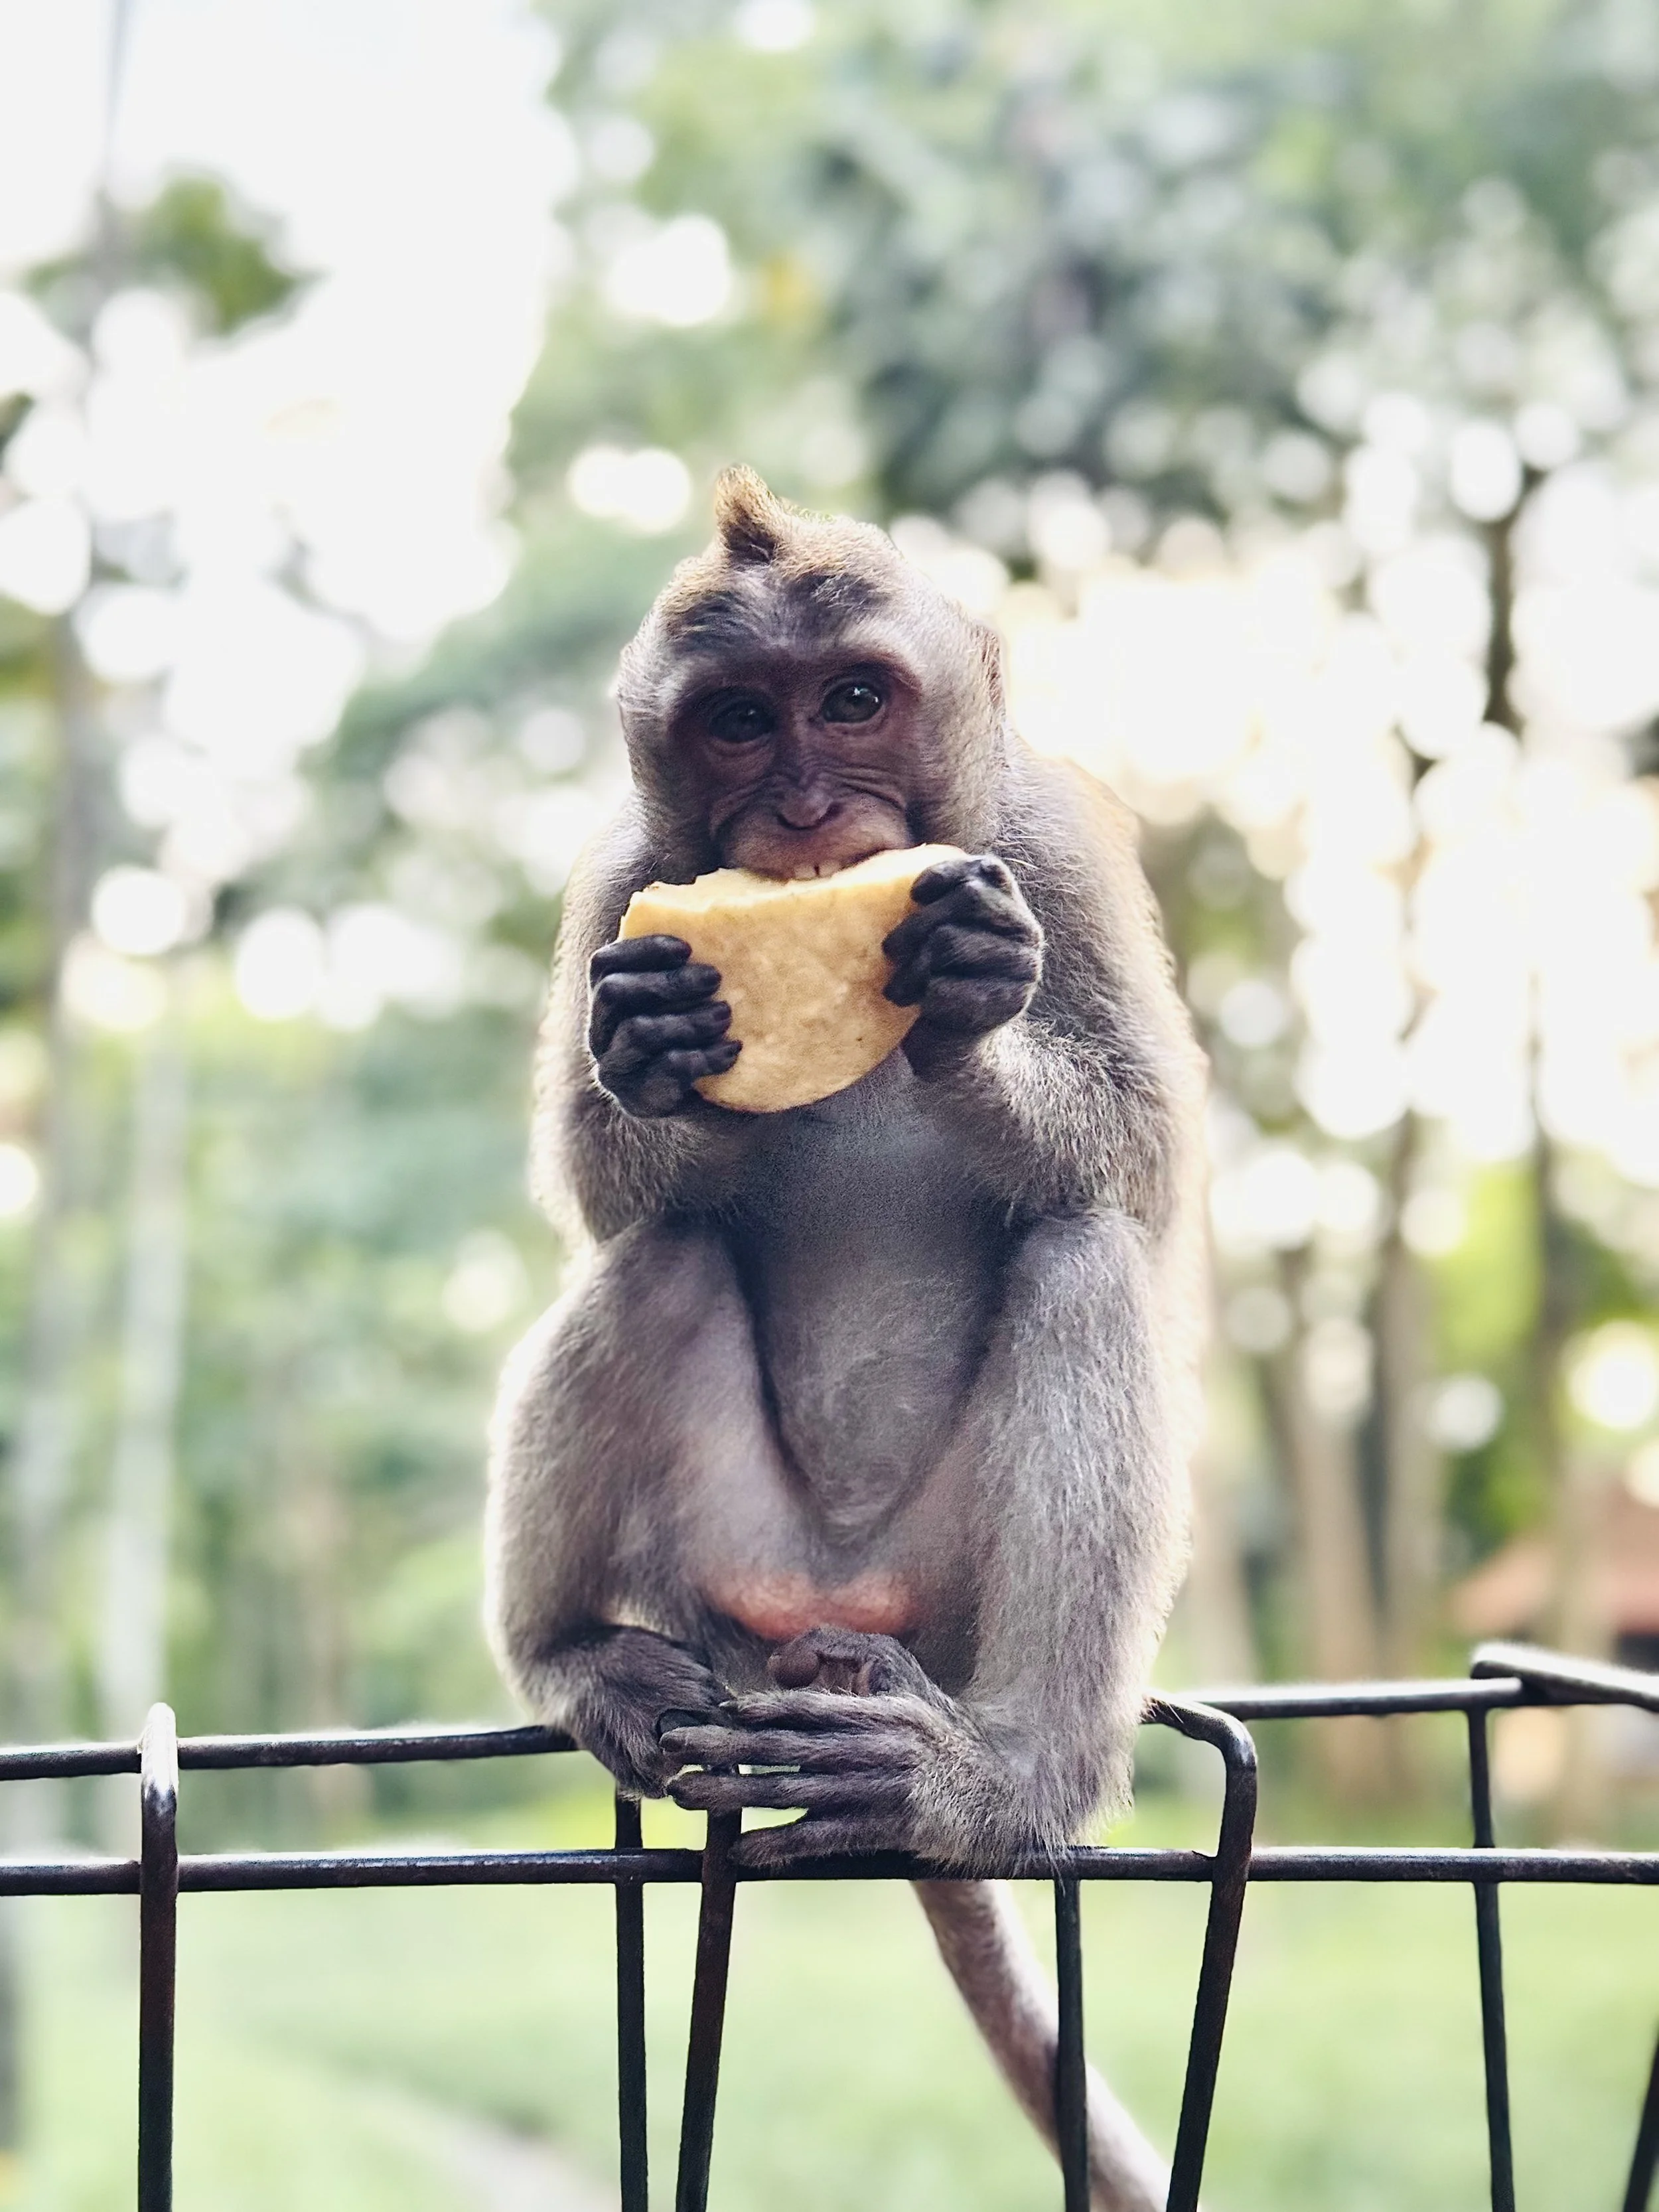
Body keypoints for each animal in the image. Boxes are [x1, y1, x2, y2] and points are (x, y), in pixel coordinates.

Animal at [485, 467, 1206, 2212]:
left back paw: (1008, 1782)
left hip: (950, 1597)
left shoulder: (1053, 848)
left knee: (1082, 1258)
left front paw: (966, 1002)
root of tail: (833, 1619)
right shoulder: (620, 884)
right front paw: (651, 1049)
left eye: (855, 701)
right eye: (742, 720)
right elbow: (606, 1194)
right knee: (662, 1263)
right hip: (729, 1572)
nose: (809, 810)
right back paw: (570, 1649)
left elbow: (1140, 1164)